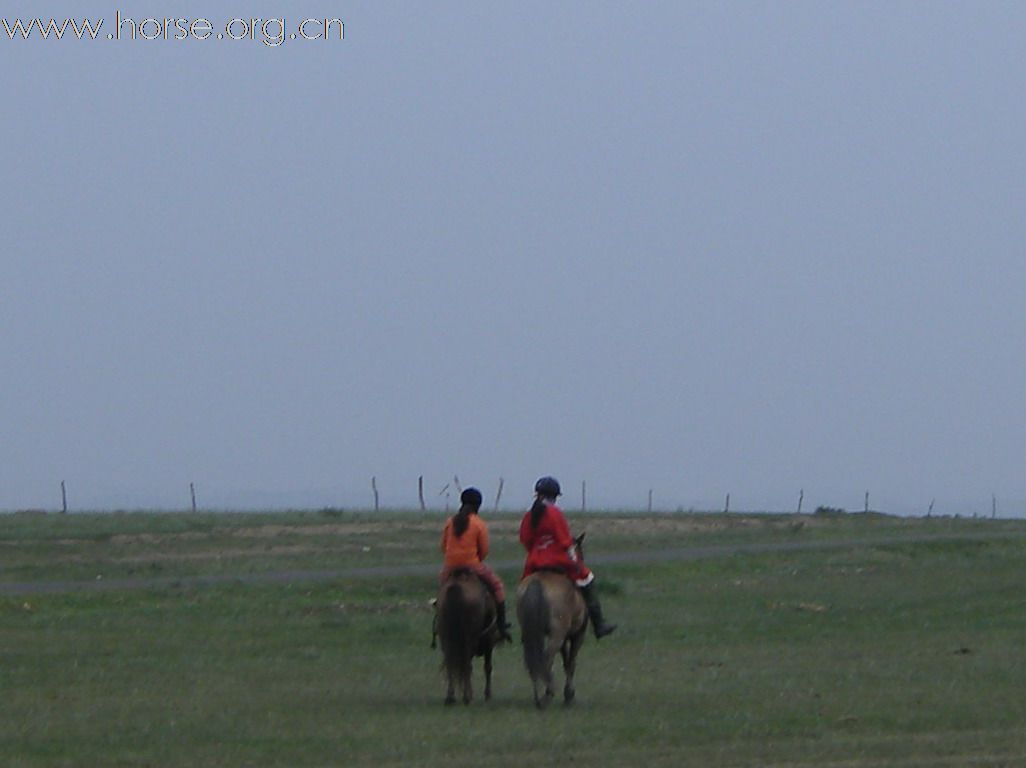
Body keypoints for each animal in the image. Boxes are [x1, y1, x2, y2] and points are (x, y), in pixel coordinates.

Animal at [432, 566, 500, 705]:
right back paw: (467, 697)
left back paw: (450, 697)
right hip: (469, 640)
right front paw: (487, 694)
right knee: (466, 665)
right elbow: (488, 667)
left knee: (451, 664)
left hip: (446, 638)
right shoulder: (489, 642)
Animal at [517, 533, 590, 705]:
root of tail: (537, 583)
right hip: (556, 635)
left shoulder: (564, 638)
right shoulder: (577, 635)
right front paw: (569, 694)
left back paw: (538, 696)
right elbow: (571, 662)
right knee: (546, 658)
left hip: (531, 633)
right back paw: (548, 693)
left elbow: (565, 661)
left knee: (533, 660)